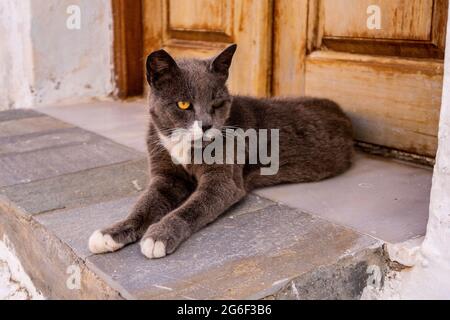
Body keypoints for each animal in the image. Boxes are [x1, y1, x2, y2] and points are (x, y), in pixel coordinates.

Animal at [89, 45, 356, 258]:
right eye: (183, 104)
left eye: (217, 103)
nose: (207, 124)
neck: (186, 146)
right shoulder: (166, 175)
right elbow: (144, 205)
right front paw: (111, 233)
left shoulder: (223, 182)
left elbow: (190, 209)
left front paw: (159, 236)